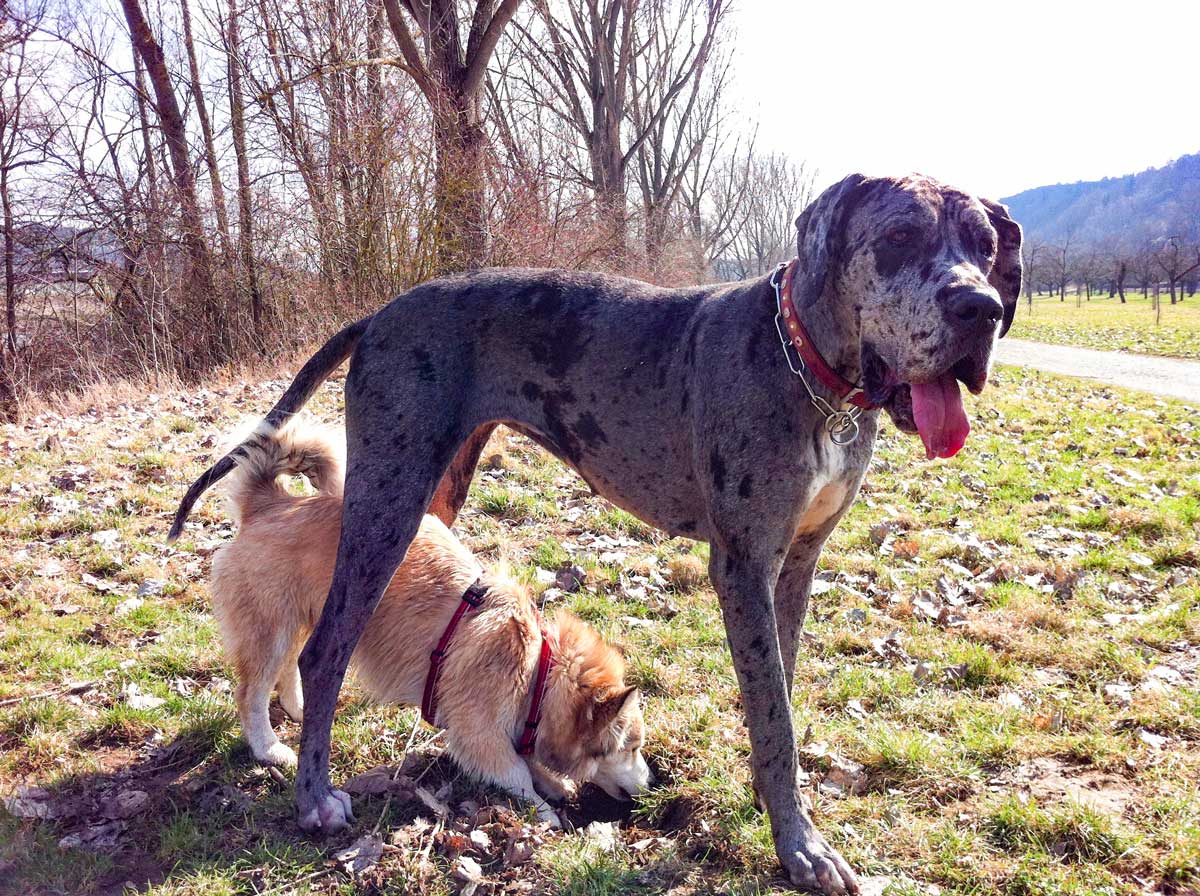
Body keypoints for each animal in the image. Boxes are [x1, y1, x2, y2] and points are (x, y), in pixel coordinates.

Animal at [211, 419, 652, 825]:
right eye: (630, 747)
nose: (650, 784)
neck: (539, 669)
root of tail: (272, 502)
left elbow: (529, 763)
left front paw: (554, 784)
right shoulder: (478, 733)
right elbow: (516, 773)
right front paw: (544, 812)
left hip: (306, 618)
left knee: (295, 663)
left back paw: (301, 710)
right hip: (271, 630)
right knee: (252, 692)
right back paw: (268, 747)